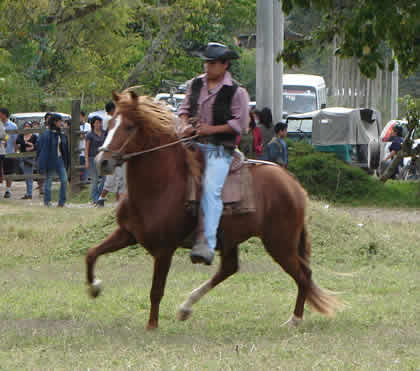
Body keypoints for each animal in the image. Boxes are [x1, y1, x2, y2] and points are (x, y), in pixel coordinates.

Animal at [87, 91, 340, 330]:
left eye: (129, 126)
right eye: (110, 124)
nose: (102, 161)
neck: (161, 185)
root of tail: (292, 183)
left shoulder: (164, 248)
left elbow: (156, 290)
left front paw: (152, 326)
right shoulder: (127, 233)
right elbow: (91, 253)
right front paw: (94, 288)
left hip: (280, 243)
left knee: (303, 275)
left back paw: (295, 320)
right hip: (234, 238)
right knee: (230, 268)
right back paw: (186, 307)